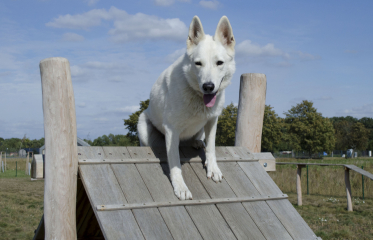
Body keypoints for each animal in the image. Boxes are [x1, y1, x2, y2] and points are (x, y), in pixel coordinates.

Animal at [137, 14, 235, 199]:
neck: (197, 97)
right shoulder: (172, 129)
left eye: (219, 63)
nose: (208, 87)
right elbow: (175, 163)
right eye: (198, 63)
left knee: (199, 139)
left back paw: (196, 142)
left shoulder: (212, 121)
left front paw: (213, 169)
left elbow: (211, 148)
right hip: (143, 126)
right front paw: (180, 187)